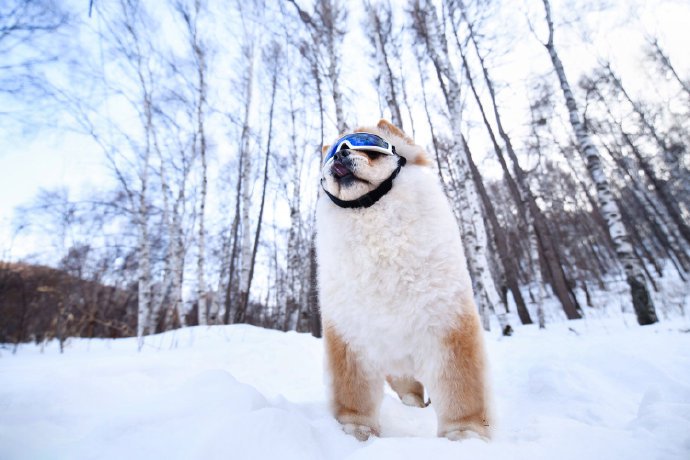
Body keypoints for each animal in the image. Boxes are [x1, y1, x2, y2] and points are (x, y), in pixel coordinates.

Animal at [314, 119, 492, 442]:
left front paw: (465, 434)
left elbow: (461, 388)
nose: (341, 153)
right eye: (330, 155)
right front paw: (356, 431)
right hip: (397, 368)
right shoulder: (349, 334)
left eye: (369, 145)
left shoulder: (448, 324)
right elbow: (353, 393)